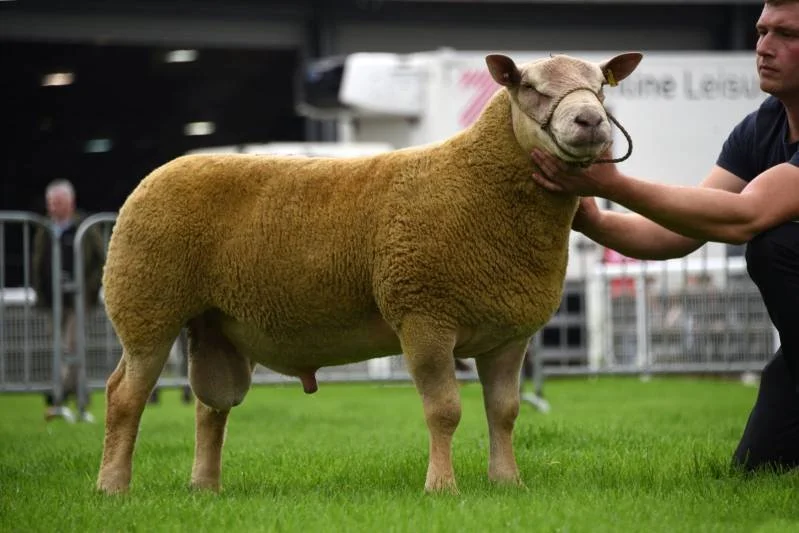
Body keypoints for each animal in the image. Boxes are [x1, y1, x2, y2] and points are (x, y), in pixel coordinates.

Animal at [96, 51, 642, 495]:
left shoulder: (509, 334)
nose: (591, 120)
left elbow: (504, 413)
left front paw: (508, 483)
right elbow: (444, 410)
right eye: (530, 87)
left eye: (601, 86)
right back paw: (113, 486)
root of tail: (157, 174)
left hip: (216, 326)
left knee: (211, 407)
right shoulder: (424, 315)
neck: (477, 182)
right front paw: (441, 487)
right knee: (124, 395)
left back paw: (205, 488)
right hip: (146, 305)